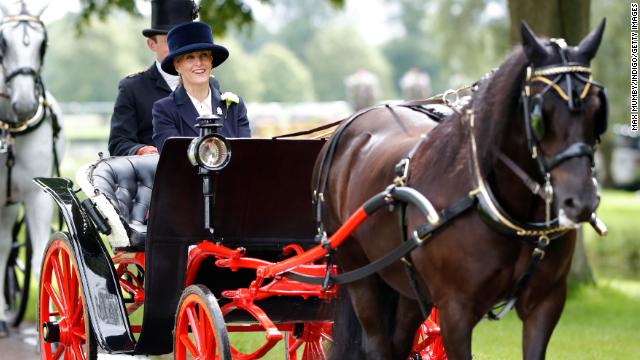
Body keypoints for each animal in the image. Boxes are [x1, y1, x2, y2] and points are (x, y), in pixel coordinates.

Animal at [318, 22, 608, 360]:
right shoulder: (455, 309)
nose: (581, 201)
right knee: (376, 342)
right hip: (358, 270)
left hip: (408, 283)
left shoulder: (545, 304)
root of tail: (353, 121)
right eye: (539, 113)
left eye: (597, 110)